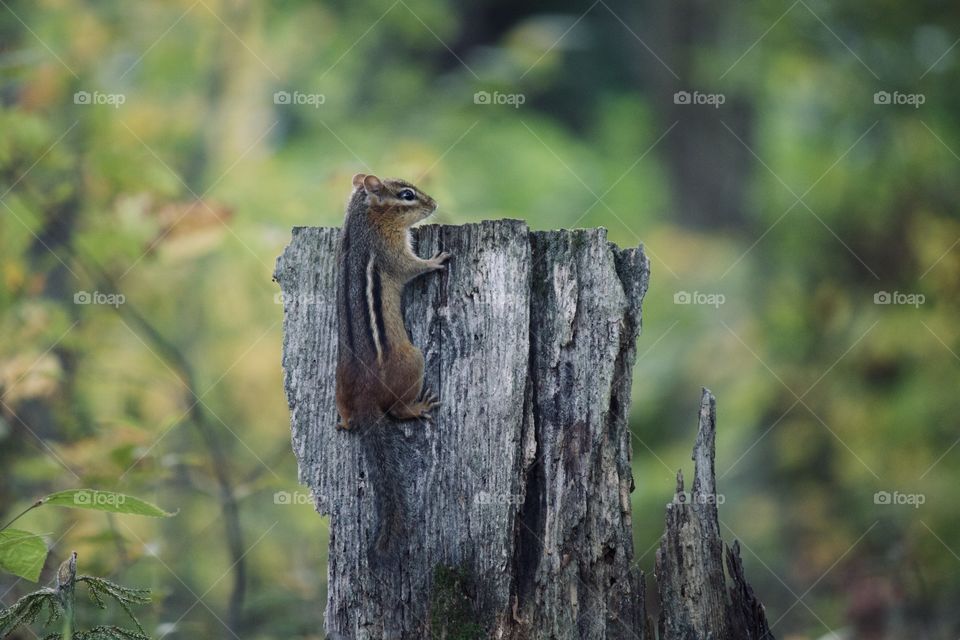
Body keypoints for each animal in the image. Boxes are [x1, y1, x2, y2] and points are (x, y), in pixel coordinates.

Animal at [334, 173, 450, 562]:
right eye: (407, 195)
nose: (434, 204)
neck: (363, 219)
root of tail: (364, 397)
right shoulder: (393, 252)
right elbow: (412, 267)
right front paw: (436, 260)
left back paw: (345, 421)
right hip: (413, 360)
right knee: (397, 411)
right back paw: (417, 407)